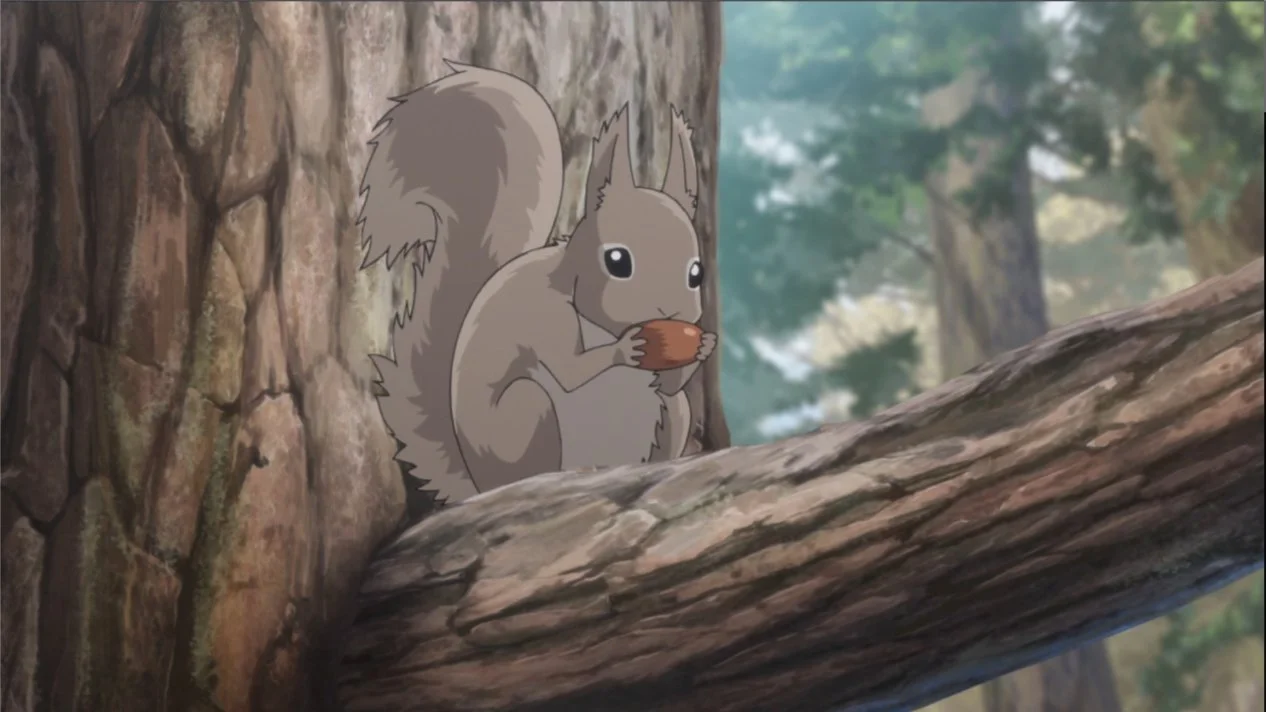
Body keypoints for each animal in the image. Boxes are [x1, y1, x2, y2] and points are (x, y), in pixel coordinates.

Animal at [358, 61, 716, 503]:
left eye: (697, 272)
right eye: (617, 261)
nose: (670, 310)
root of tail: (476, 483)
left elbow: (668, 384)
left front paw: (704, 345)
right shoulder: (546, 313)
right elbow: (569, 371)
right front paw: (627, 348)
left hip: (673, 417)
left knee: (673, 408)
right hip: (528, 413)